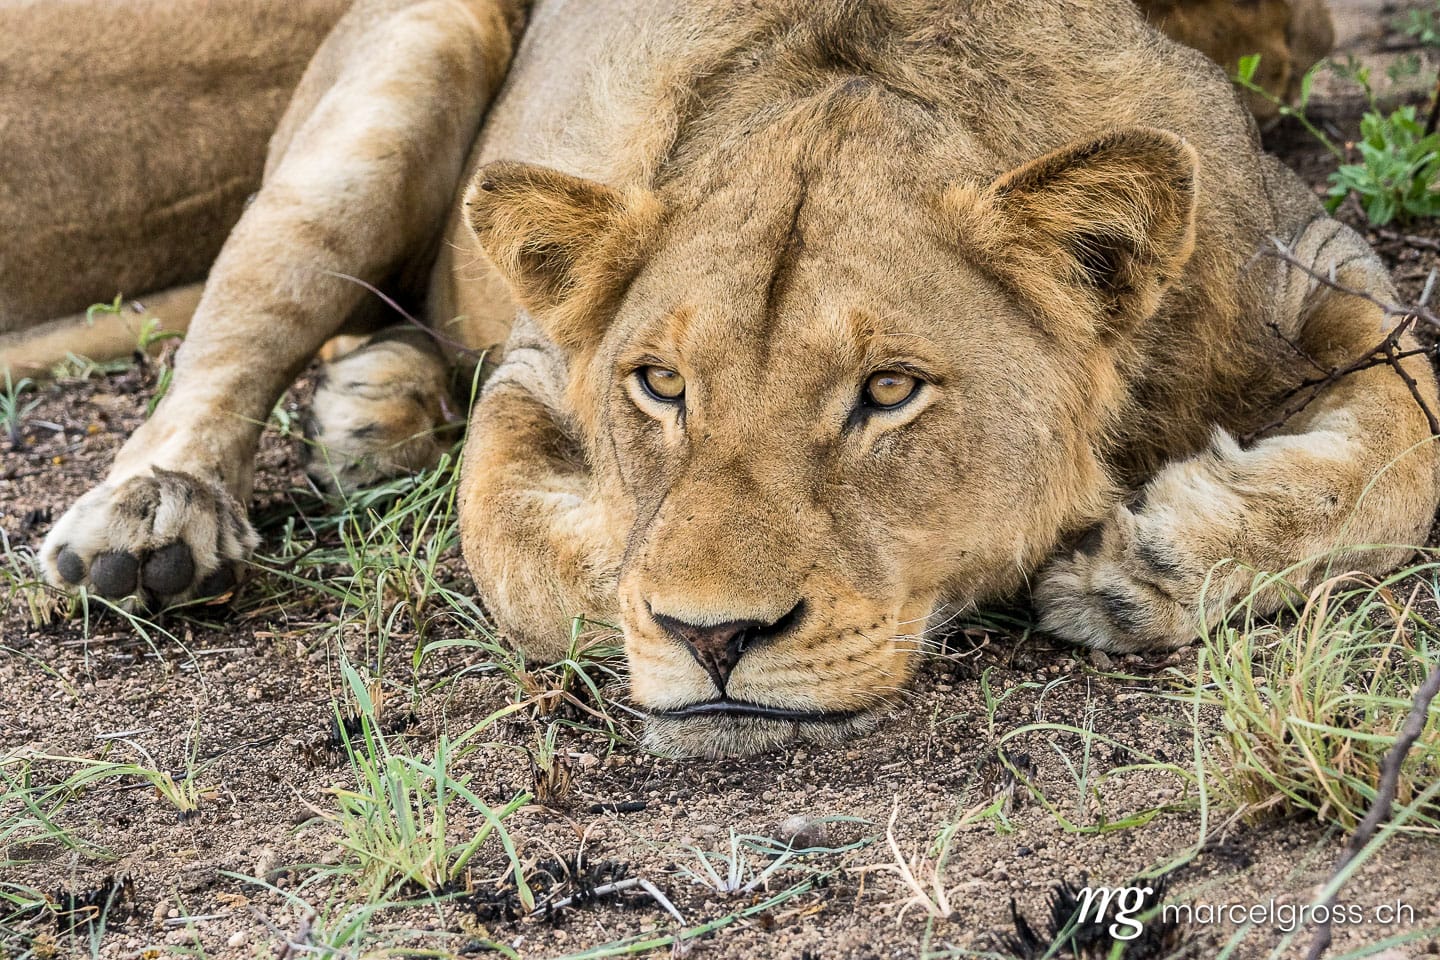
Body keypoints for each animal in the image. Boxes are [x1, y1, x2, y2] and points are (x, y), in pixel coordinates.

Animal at [7, 0, 1436, 758]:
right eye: (660, 385)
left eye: (889, 391)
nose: (715, 640)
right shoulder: (543, 359)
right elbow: (510, 537)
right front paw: (640, 608)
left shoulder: (1318, 269)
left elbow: (1405, 452)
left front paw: (1146, 562)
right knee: (240, 321)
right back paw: (157, 519)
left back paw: (377, 406)